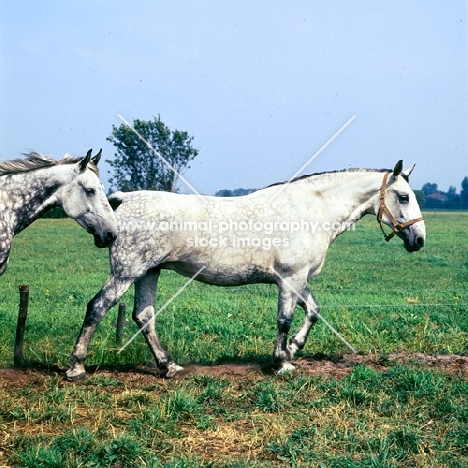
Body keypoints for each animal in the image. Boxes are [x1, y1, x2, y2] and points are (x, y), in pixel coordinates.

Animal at [67, 159, 426, 378]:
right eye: (404, 197)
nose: (419, 239)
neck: (310, 209)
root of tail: (125, 200)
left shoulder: (299, 279)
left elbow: (312, 311)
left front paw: (293, 349)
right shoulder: (290, 279)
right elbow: (284, 319)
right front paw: (282, 362)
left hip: (148, 272)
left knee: (143, 316)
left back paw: (169, 366)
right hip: (126, 272)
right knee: (98, 307)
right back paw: (77, 367)